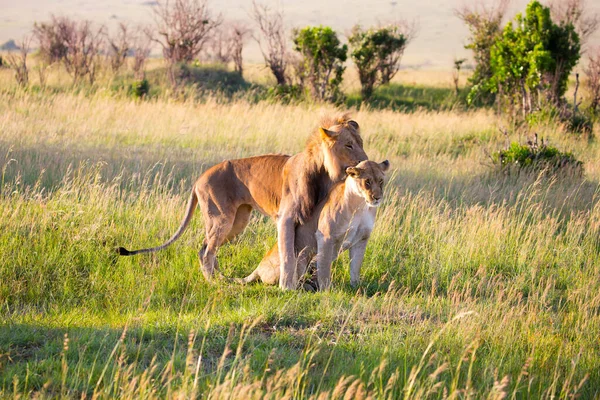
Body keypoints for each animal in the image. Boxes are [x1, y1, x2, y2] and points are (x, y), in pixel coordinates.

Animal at [116, 115, 366, 288]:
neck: (324, 173)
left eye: (361, 142)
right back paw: (213, 283)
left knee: (206, 247)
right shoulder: (285, 218)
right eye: (349, 145)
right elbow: (287, 254)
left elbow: (308, 253)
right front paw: (287, 287)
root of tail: (198, 179)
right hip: (222, 218)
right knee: (206, 251)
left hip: (237, 222)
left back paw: (221, 278)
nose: (365, 161)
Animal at [237, 160, 386, 290]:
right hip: (301, 256)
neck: (360, 205)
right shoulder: (325, 236)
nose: (377, 198)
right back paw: (307, 287)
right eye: (367, 182)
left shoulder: (362, 239)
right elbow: (325, 267)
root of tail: (258, 267)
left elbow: (355, 266)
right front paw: (327, 290)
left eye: (381, 181)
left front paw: (357, 287)